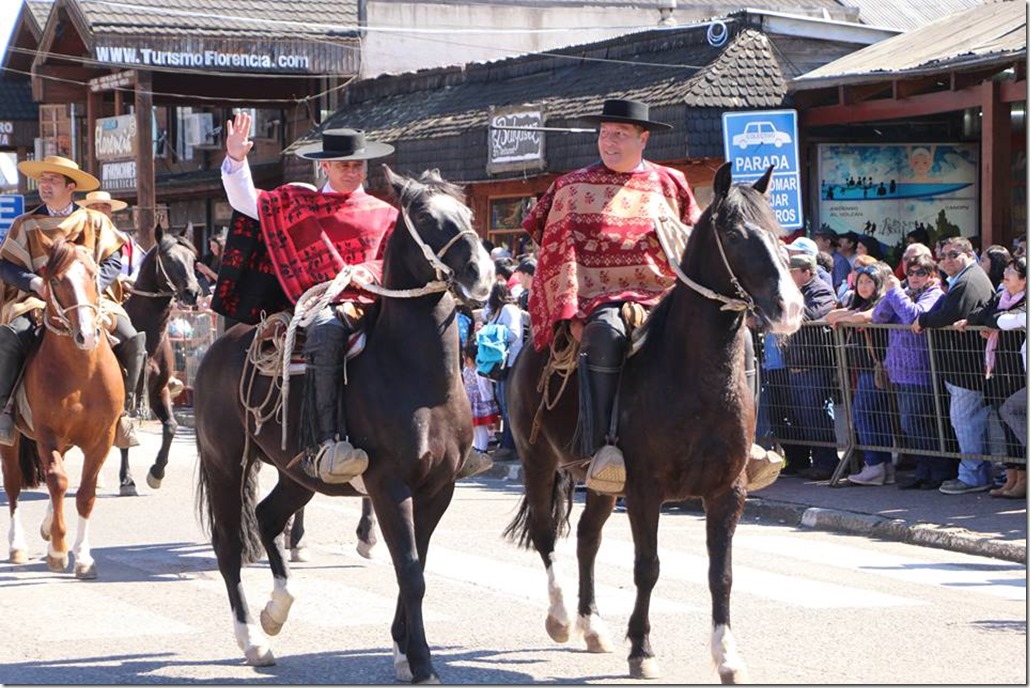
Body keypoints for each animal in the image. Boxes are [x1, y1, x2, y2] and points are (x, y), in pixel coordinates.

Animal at [1, 238, 124, 576]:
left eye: (93, 274)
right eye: (55, 280)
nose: (87, 335)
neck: (81, 372)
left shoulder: (102, 438)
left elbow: (85, 492)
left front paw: (82, 557)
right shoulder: (47, 433)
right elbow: (57, 481)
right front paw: (58, 550)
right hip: (13, 439)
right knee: (14, 486)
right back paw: (18, 546)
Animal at [197, 167, 498, 683]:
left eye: (467, 213)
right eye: (424, 216)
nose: (481, 274)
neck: (418, 376)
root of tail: (219, 346)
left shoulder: (439, 488)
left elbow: (417, 567)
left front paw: (402, 652)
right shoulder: (390, 486)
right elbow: (411, 572)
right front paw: (422, 663)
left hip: (297, 473)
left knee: (269, 517)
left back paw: (277, 608)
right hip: (225, 464)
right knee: (230, 543)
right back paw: (253, 641)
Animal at [504, 162, 803, 683]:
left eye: (780, 232)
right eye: (733, 232)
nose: (789, 308)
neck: (693, 378)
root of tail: (531, 347)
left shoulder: (727, 491)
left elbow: (721, 574)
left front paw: (727, 656)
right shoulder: (646, 489)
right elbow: (648, 567)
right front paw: (642, 650)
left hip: (602, 484)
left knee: (587, 538)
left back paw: (593, 626)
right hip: (537, 460)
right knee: (546, 534)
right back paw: (561, 618)